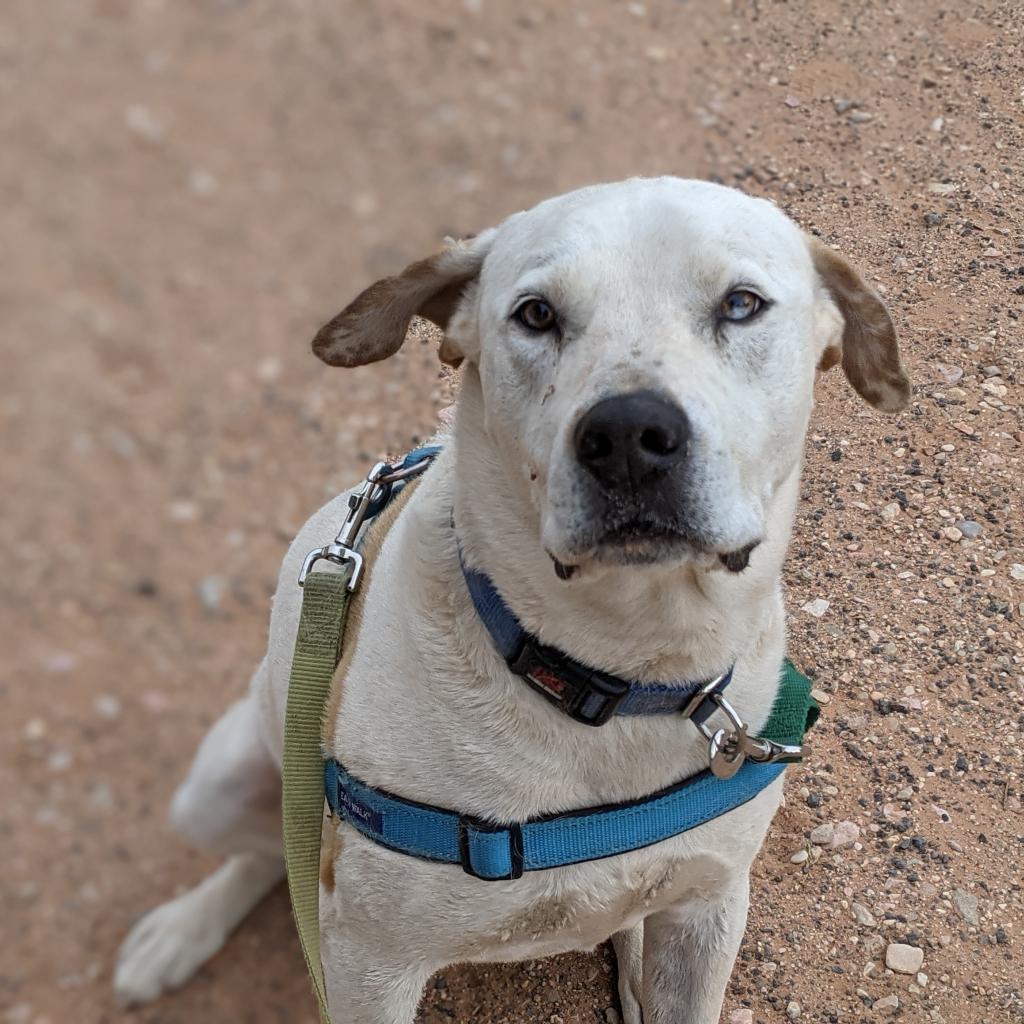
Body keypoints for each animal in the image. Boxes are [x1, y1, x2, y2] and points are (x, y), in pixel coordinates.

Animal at [114, 180, 913, 1019]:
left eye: (741, 303)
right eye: (535, 313)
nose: (628, 435)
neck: (616, 672)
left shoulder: (709, 908)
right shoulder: (369, 964)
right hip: (224, 785)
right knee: (271, 851)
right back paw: (180, 931)